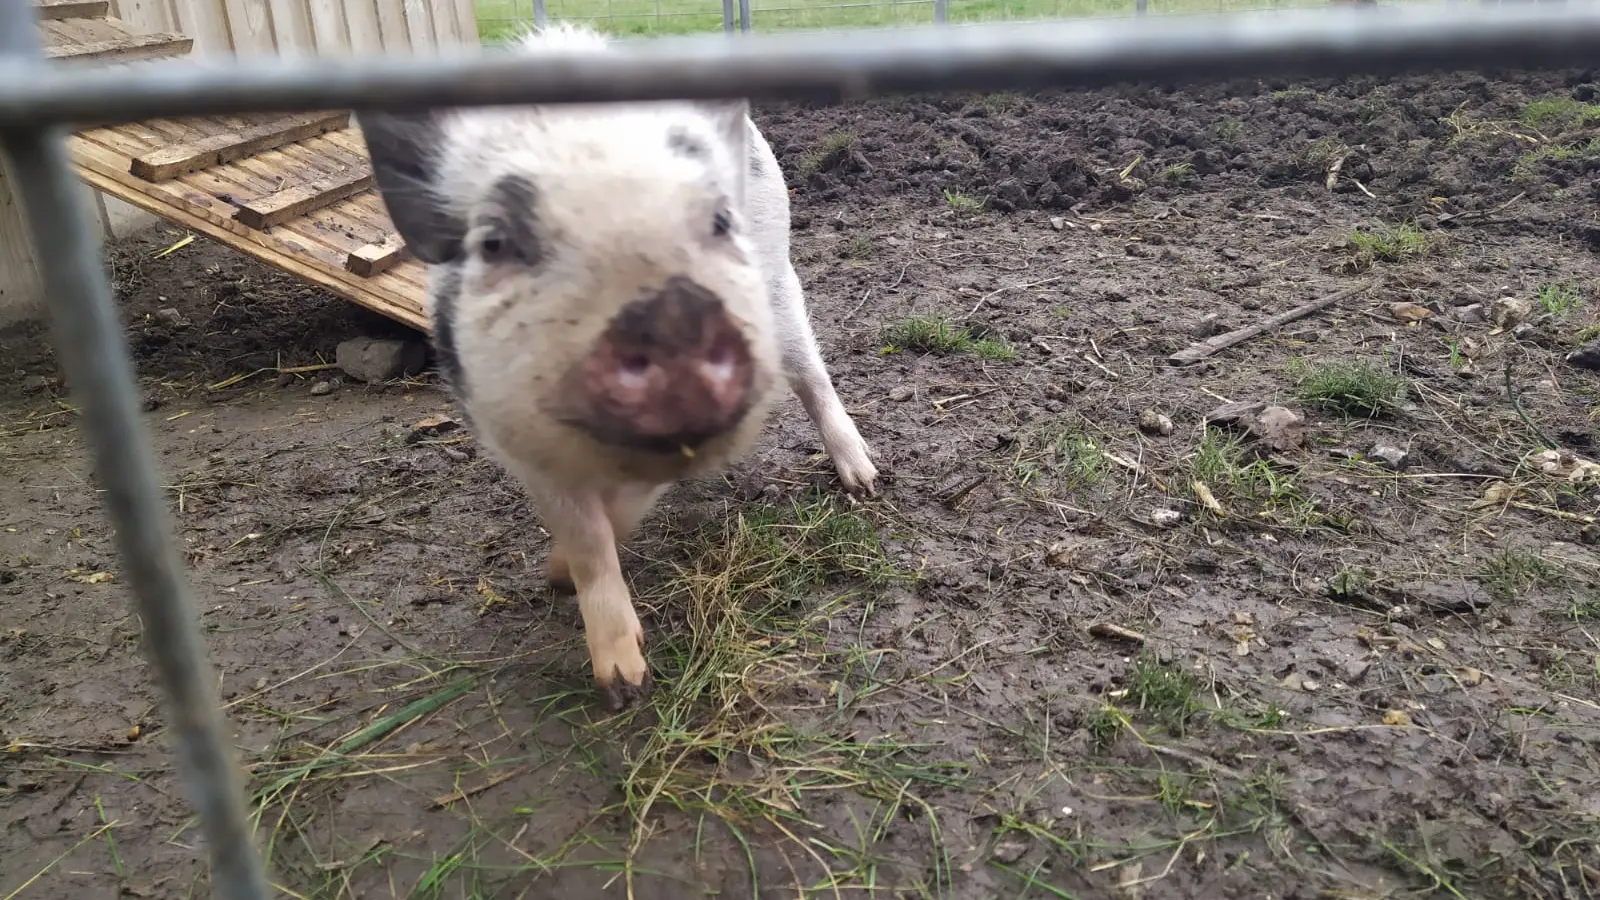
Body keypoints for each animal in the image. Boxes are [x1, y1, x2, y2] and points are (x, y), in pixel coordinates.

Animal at [358, 19, 883, 707]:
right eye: (494, 242)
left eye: (720, 219)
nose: (671, 315)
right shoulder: (511, 436)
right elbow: (585, 534)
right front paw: (615, 673)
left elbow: (625, 509)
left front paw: (620, 680)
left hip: (780, 279)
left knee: (812, 374)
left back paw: (867, 483)